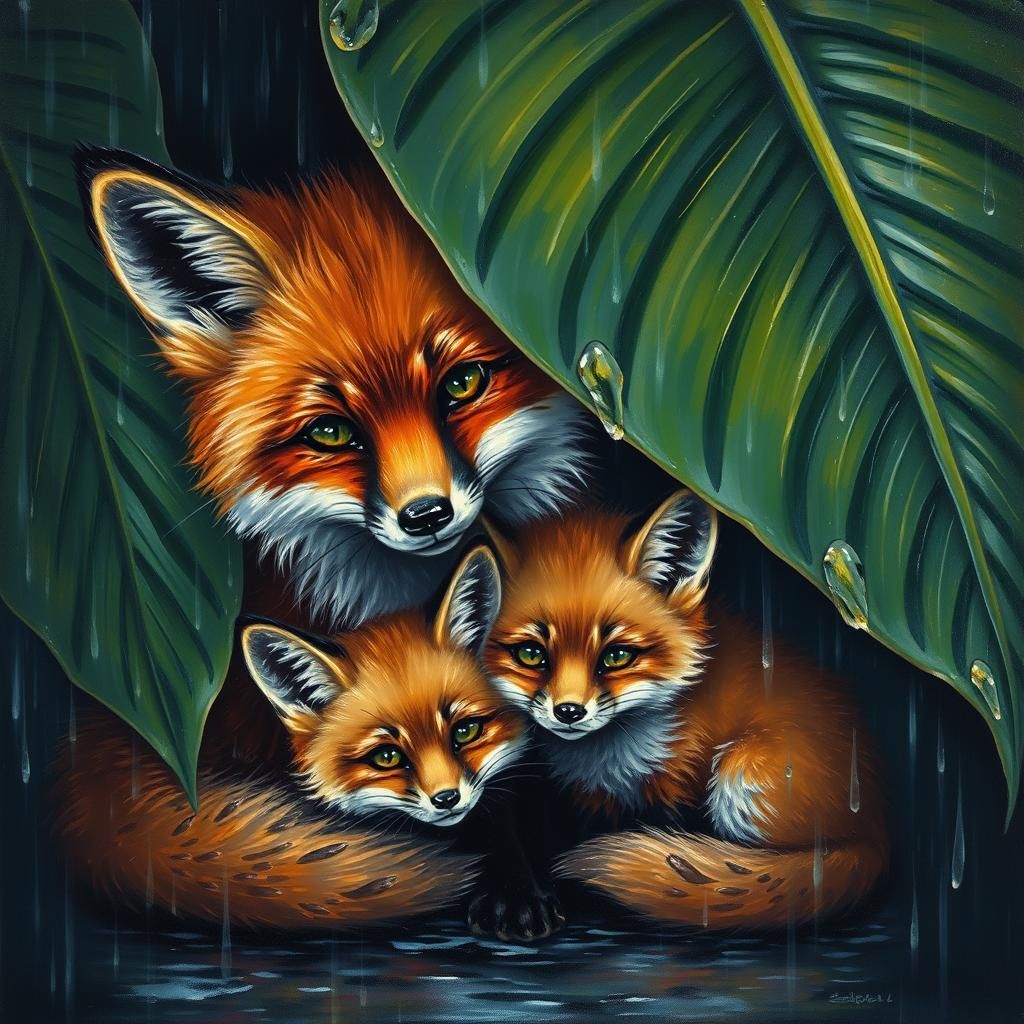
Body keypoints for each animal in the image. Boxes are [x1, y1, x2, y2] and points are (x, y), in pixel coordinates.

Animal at [484, 492, 888, 930]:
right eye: (531, 654)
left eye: (617, 656)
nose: (569, 711)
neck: (606, 761)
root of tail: (877, 834)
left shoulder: (678, 783)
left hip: (741, 773)